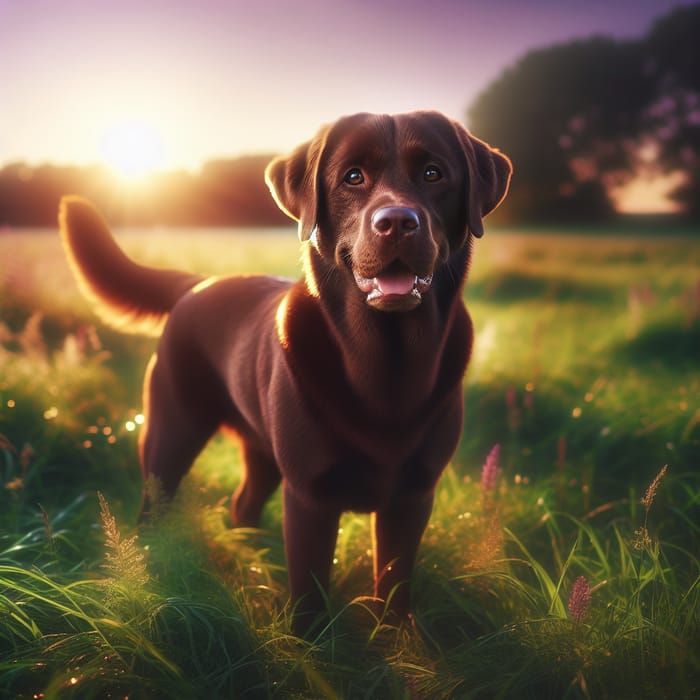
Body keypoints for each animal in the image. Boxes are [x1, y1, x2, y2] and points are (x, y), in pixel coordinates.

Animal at [58, 110, 508, 636]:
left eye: (434, 174)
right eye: (353, 177)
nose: (396, 222)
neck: (383, 365)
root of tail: (198, 283)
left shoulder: (413, 495)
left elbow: (394, 585)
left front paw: (398, 642)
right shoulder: (310, 496)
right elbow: (309, 592)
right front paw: (310, 647)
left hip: (262, 454)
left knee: (243, 504)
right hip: (170, 438)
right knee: (155, 507)